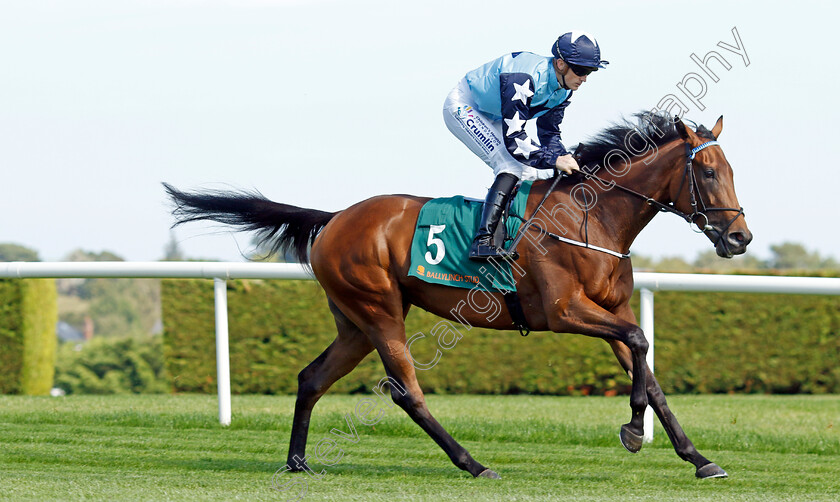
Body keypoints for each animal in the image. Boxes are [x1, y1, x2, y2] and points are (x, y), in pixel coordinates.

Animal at [162, 112, 748, 480]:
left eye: (730, 170)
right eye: (707, 171)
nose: (739, 238)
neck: (593, 216)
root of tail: (334, 218)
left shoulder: (611, 308)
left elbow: (650, 372)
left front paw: (697, 457)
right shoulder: (566, 312)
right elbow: (640, 342)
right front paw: (631, 430)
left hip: (354, 323)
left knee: (311, 378)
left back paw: (298, 462)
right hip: (379, 310)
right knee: (406, 391)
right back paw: (473, 462)